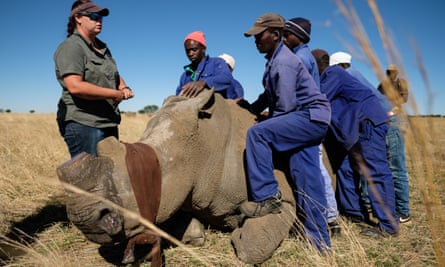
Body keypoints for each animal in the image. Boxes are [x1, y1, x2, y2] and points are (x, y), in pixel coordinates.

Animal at [57, 89, 296, 266]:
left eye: (145, 174)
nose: (83, 217)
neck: (205, 147)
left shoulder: (283, 199)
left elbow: (253, 245)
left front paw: (237, 233)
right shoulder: (180, 191)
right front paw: (195, 233)